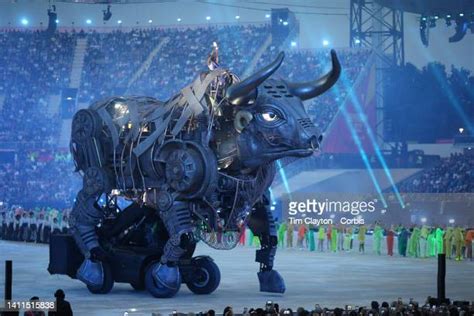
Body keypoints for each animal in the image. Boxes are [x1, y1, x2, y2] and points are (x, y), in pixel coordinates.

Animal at [65, 50, 340, 298]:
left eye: (299, 105)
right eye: (271, 114)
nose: (315, 137)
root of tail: (90, 110)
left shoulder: (253, 197)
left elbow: (269, 237)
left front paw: (268, 277)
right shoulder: (169, 196)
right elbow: (184, 237)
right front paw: (164, 277)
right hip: (97, 177)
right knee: (82, 214)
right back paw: (94, 267)